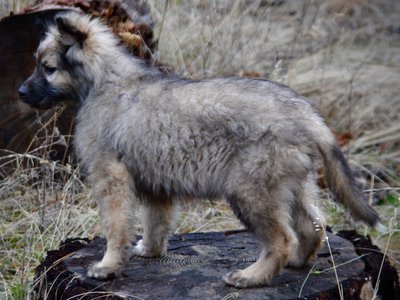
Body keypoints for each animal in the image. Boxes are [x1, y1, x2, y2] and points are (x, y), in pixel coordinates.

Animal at [18, 12, 382, 288]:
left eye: (48, 68)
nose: (20, 92)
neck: (103, 82)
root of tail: (309, 116)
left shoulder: (111, 177)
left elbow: (116, 226)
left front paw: (108, 265)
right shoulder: (155, 184)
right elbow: (155, 223)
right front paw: (149, 251)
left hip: (250, 189)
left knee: (282, 239)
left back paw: (252, 276)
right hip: (292, 184)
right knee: (313, 225)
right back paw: (294, 263)